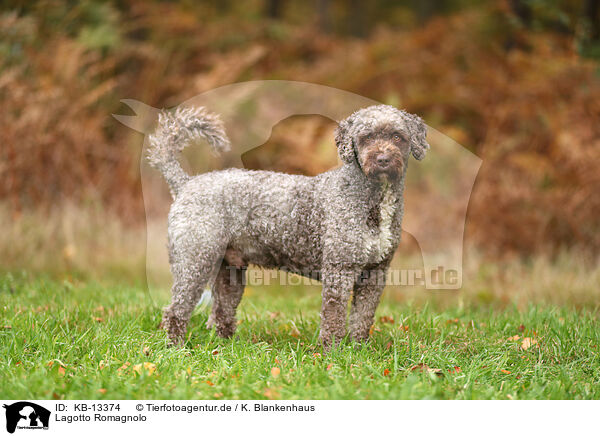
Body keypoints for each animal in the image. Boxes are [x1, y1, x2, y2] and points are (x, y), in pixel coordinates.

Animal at [150, 104, 432, 346]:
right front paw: (333, 352)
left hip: (229, 271)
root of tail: (186, 183)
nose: (383, 159)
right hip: (195, 261)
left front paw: (360, 348)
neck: (370, 202)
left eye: (397, 137)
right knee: (176, 310)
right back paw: (176, 347)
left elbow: (362, 318)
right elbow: (334, 317)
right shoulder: (339, 271)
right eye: (366, 137)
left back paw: (227, 345)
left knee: (221, 311)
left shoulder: (375, 273)